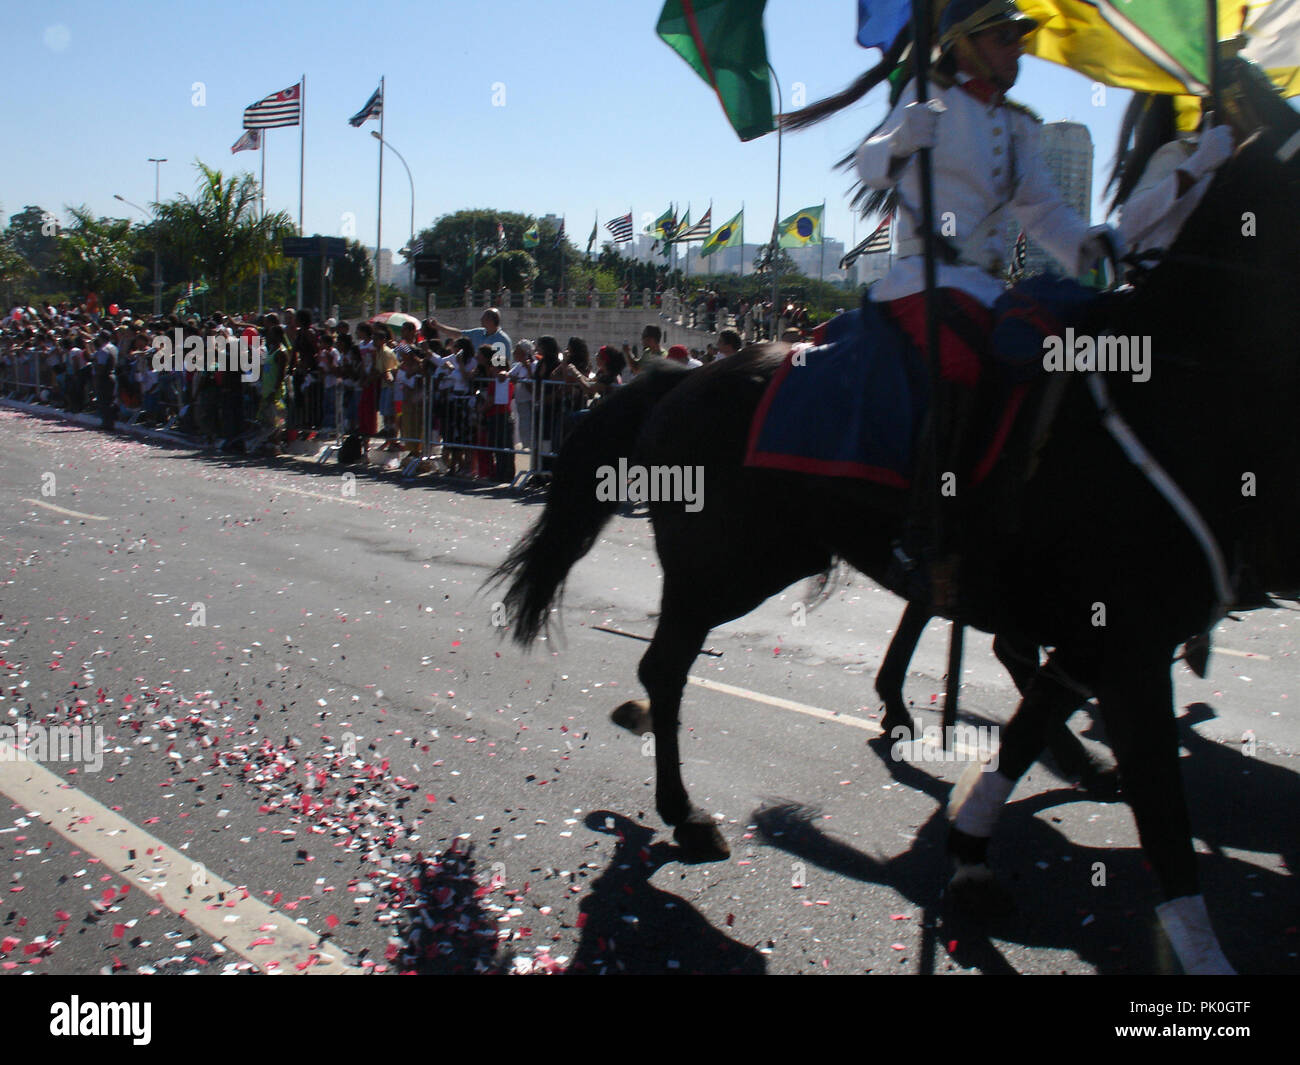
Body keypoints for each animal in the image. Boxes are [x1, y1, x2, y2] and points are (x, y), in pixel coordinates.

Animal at [493, 126, 1300, 972]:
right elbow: (1164, 820)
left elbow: (1038, 726)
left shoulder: (1104, 634)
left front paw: (976, 841)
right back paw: (683, 807)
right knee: (666, 667)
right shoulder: (1128, 646)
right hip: (725, 567)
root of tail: (677, 378)